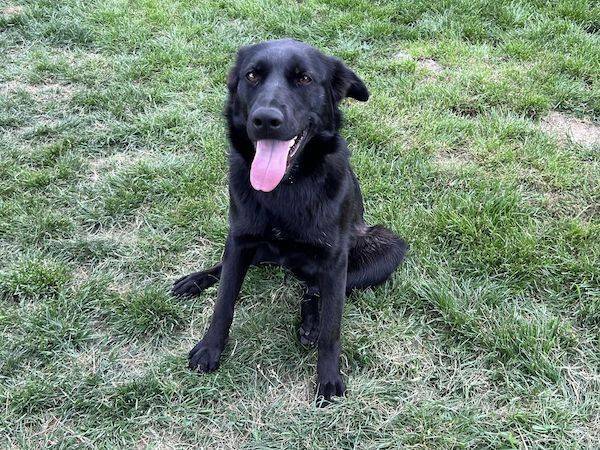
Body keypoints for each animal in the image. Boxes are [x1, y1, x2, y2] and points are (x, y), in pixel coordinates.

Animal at [173, 39, 407, 404]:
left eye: (304, 79)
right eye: (252, 75)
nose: (265, 120)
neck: (286, 184)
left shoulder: (335, 258)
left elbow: (332, 327)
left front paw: (328, 378)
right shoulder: (239, 239)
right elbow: (224, 301)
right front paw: (210, 348)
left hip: (387, 248)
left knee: (314, 289)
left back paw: (310, 322)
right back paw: (196, 279)